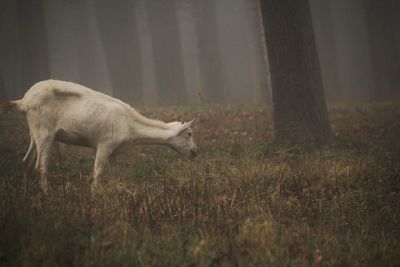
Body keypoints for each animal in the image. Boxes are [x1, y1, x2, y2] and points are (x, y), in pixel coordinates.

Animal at [0, 79, 198, 193]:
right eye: (189, 133)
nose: (196, 152)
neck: (132, 127)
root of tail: (23, 101)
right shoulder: (104, 144)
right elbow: (97, 173)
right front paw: (94, 195)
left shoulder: (114, 151)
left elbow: (115, 175)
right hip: (45, 132)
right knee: (40, 166)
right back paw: (46, 195)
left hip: (34, 132)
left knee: (26, 162)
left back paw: (26, 196)